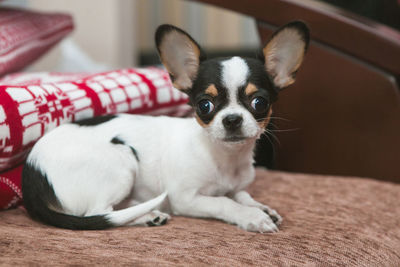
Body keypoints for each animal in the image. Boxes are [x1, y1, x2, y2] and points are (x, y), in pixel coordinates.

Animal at [21, 22, 310, 233]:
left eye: (259, 102)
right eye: (204, 105)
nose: (232, 119)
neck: (224, 157)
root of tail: (31, 172)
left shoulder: (236, 186)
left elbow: (242, 195)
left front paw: (262, 207)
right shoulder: (188, 199)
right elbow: (224, 202)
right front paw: (251, 216)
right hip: (122, 159)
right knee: (98, 213)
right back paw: (146, 214)